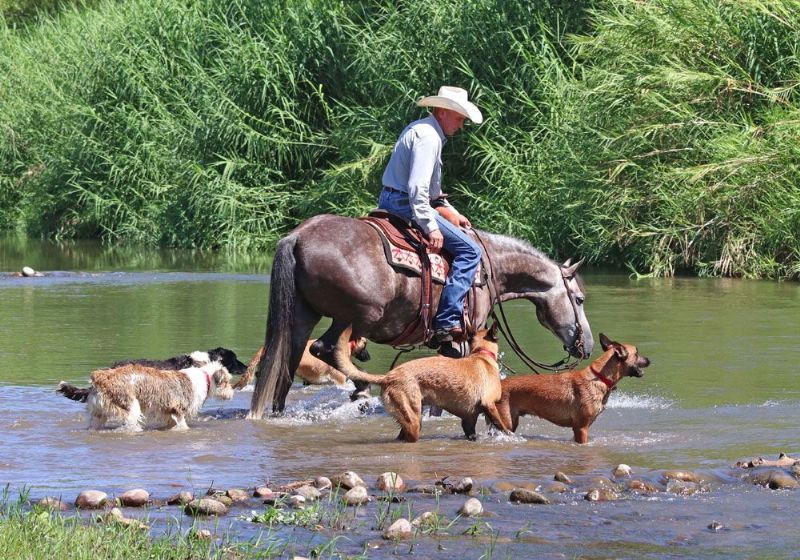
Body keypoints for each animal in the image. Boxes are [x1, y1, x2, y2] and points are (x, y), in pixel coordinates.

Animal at [248, 214, 594, 419]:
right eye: (579, 299)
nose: (587, 345)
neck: (488, 271)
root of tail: (298, 236)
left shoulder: (450, 343)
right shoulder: (465, 337)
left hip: (304, 316)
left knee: (290, 362)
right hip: (357, 316)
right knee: (326, 349)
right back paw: (361, 391)